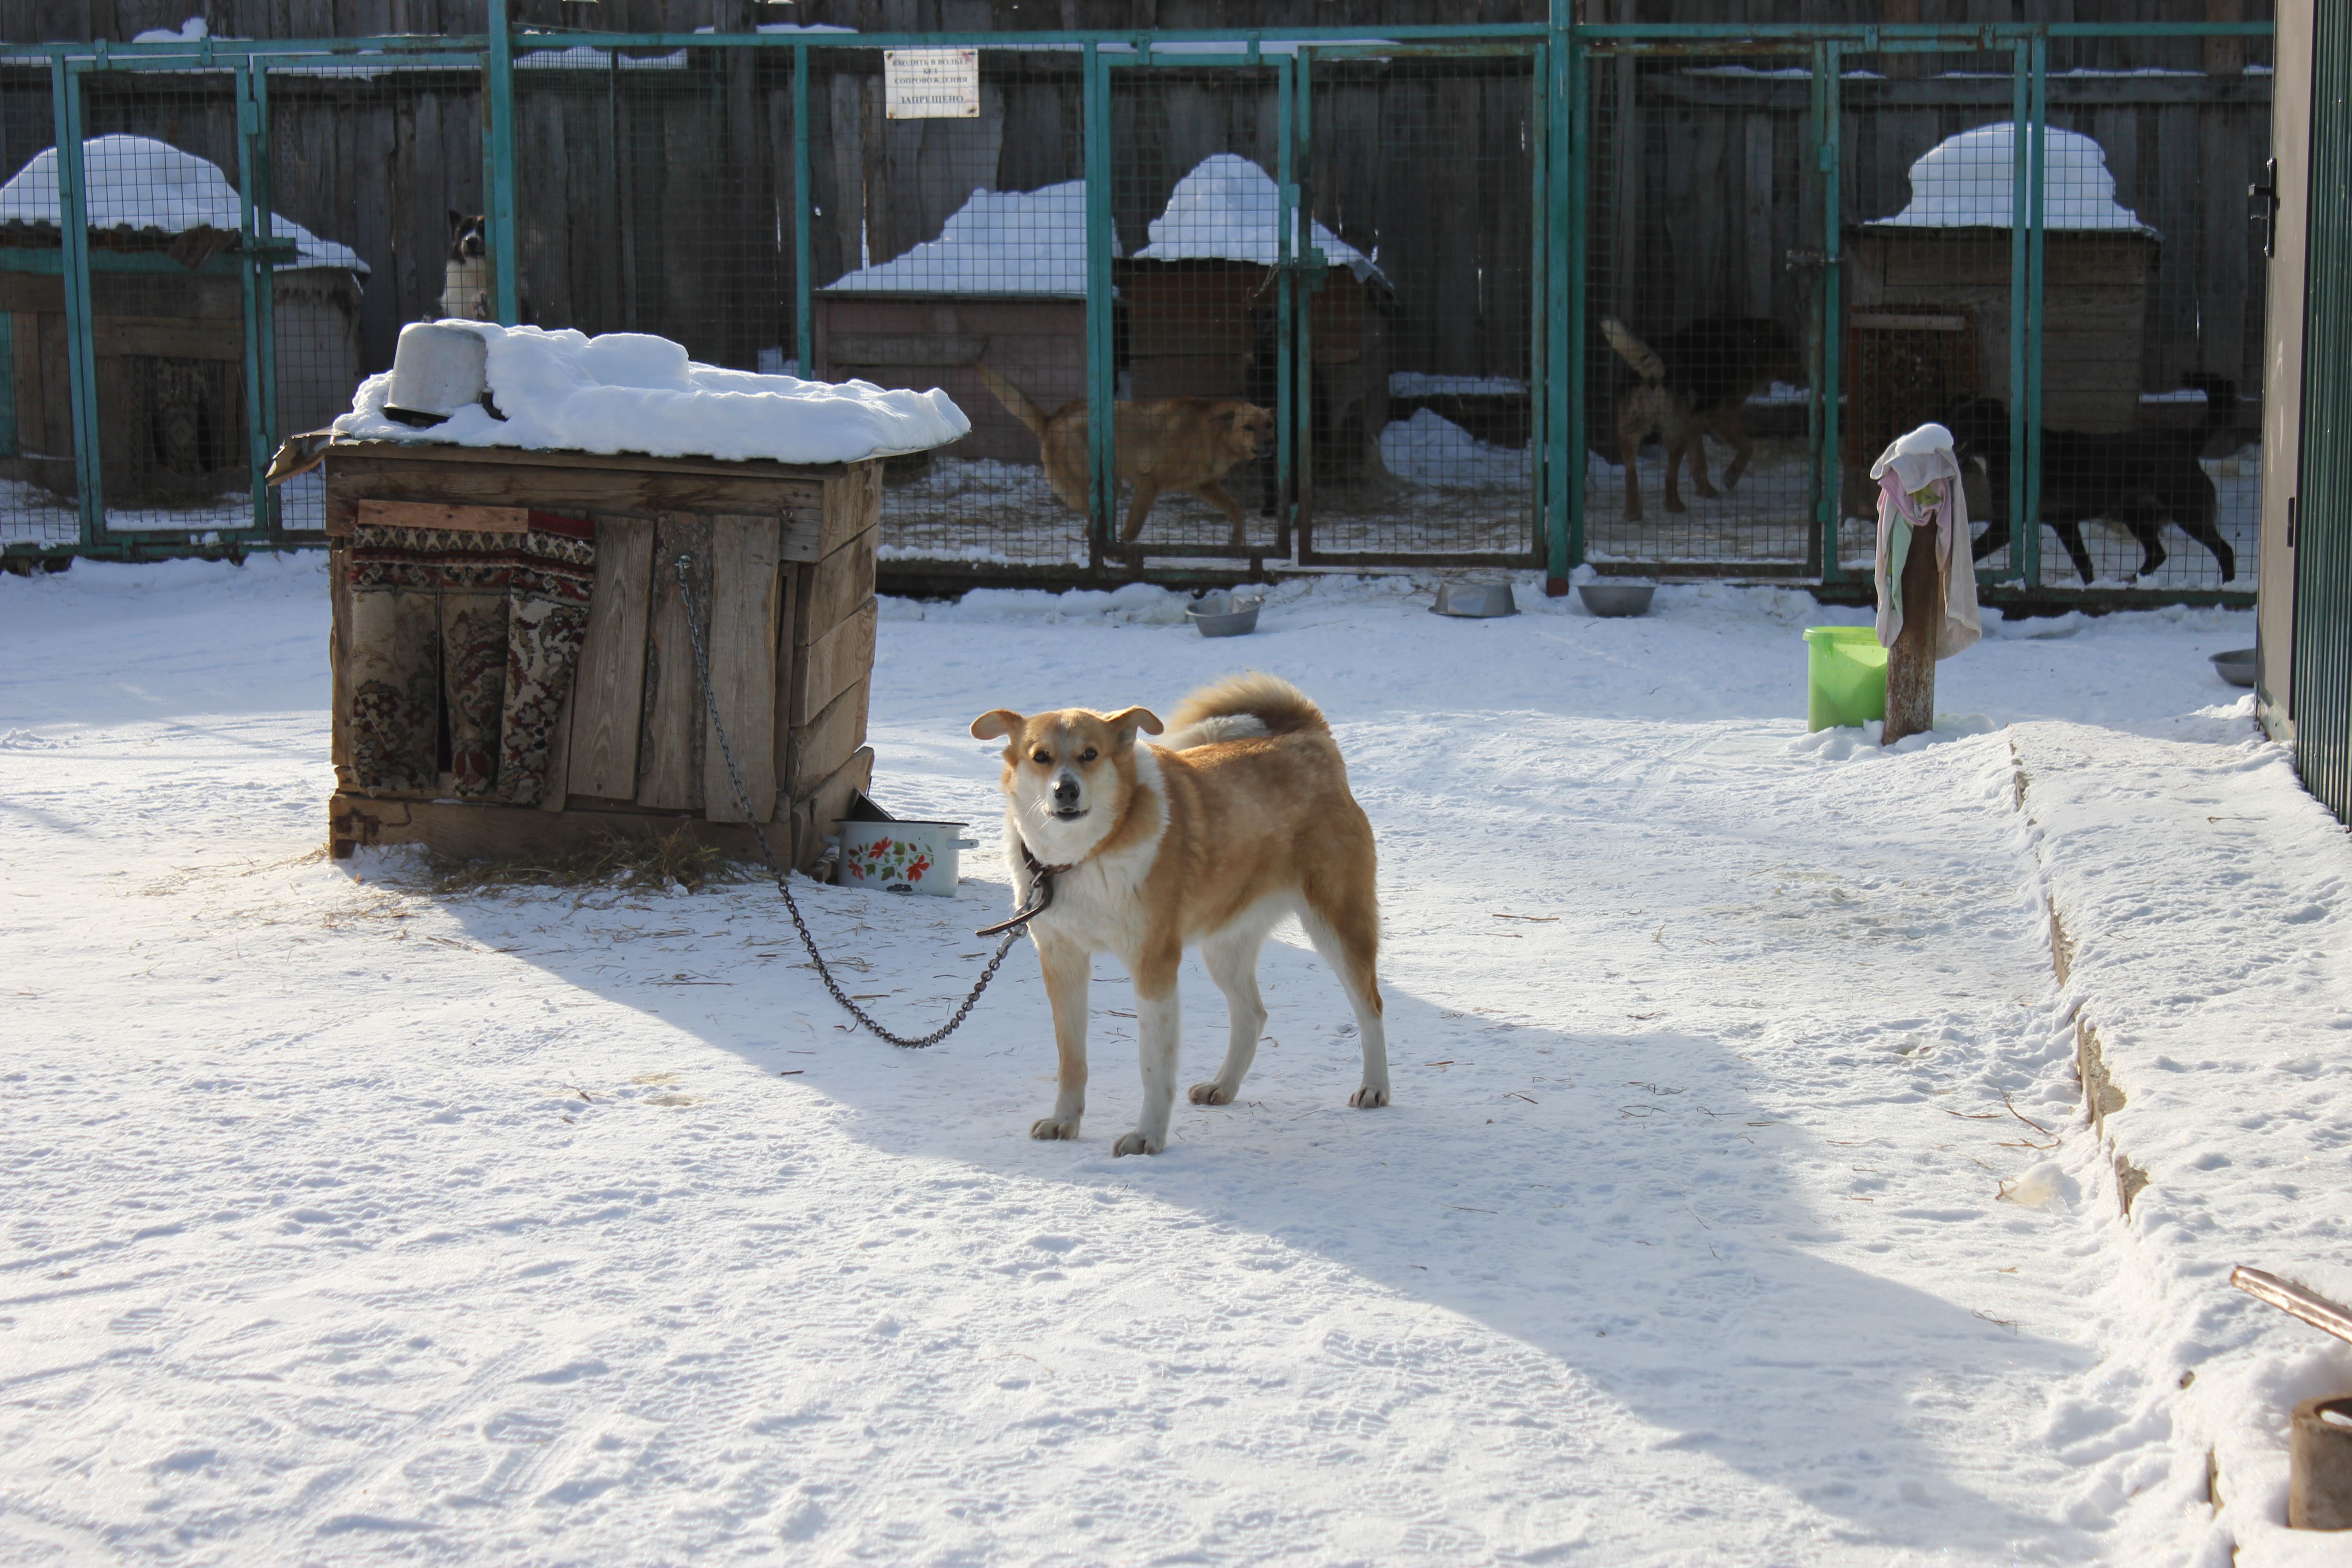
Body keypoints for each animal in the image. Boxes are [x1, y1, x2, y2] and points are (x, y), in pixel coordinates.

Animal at [969, 667, 1383, 1161]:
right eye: (1041, 757)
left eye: (1090, 754)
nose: (1065, 790)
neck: (1085, 856)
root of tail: (1310, 736)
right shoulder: (1062, 962)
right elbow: (1072, 1059)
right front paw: (1065, 1121)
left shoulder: (1154, 966)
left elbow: (1153, 1066)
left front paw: (1148, 1136)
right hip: (1225, 946)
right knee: (1253, 1015)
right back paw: (1224, 1086)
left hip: (1337, 926)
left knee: (1370, 1007)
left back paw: (1375, 1089)